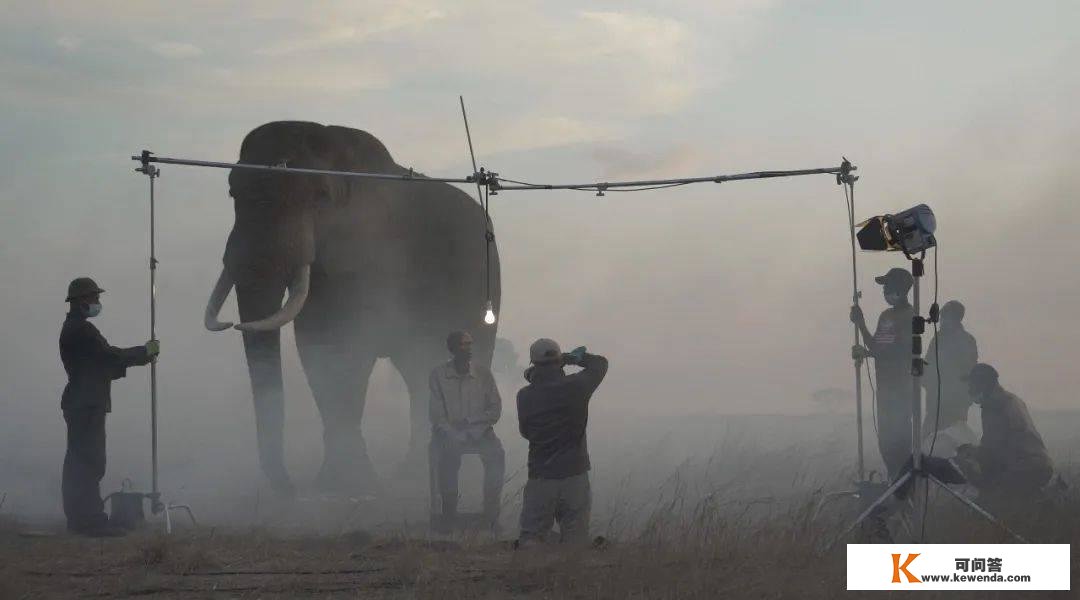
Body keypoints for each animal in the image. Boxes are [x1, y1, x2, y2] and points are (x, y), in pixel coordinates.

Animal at [203, 119, 501, 494]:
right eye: (233, 194)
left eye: (320, 197)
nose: (293, 489)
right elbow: (317, 346)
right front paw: (334, 485)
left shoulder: (375, 251)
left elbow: (347, 347)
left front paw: (350, 485)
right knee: (418, 370)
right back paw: (411, 472)